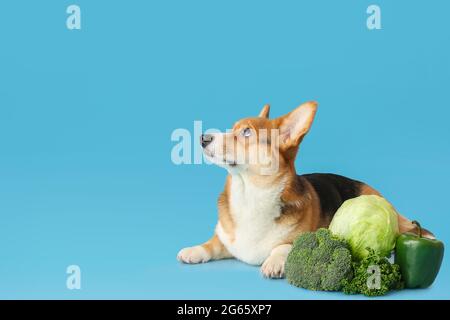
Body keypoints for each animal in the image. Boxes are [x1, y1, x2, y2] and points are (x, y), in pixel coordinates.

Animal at [178, 102, 430, 278]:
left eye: (247, 133)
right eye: (232, 129)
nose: (203, 138)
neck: (250, 193)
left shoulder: (301, 239)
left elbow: (283, 246)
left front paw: (274, 262)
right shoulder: (225, 239)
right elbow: (211, 244)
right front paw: (193, 250)